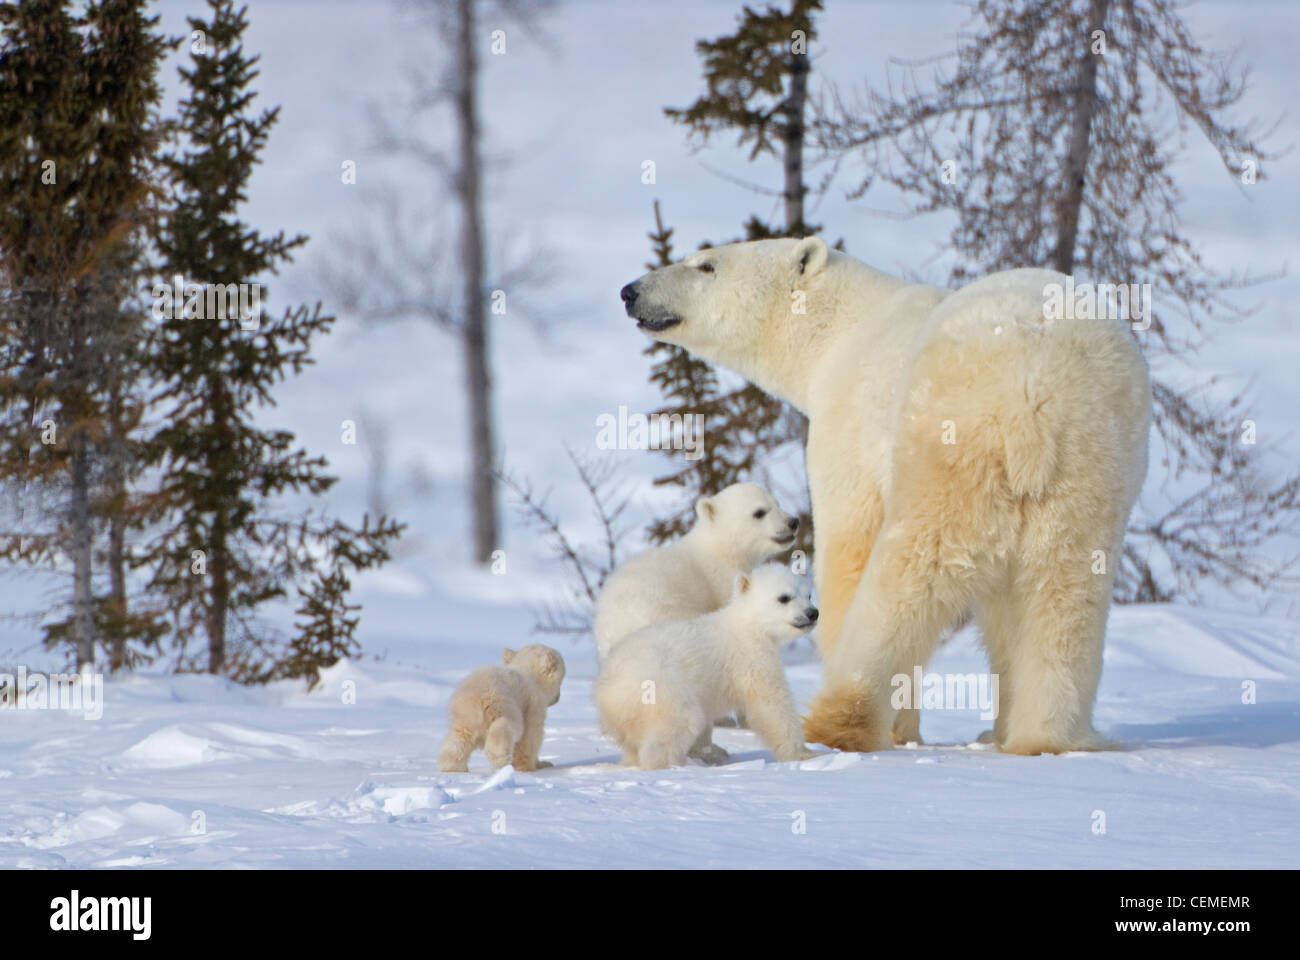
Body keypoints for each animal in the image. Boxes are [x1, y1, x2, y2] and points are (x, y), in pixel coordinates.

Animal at [618, 235, 1149, 749]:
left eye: (706, 264)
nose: (630, 291)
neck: (842, 328)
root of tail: (1035, 393)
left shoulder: (849, 425)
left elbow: (849, 546)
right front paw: (993, 730)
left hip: (949, 441)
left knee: (910, 573)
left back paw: (842, 721)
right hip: (1090, 468)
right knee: (1064, 595)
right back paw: (1047, 736)